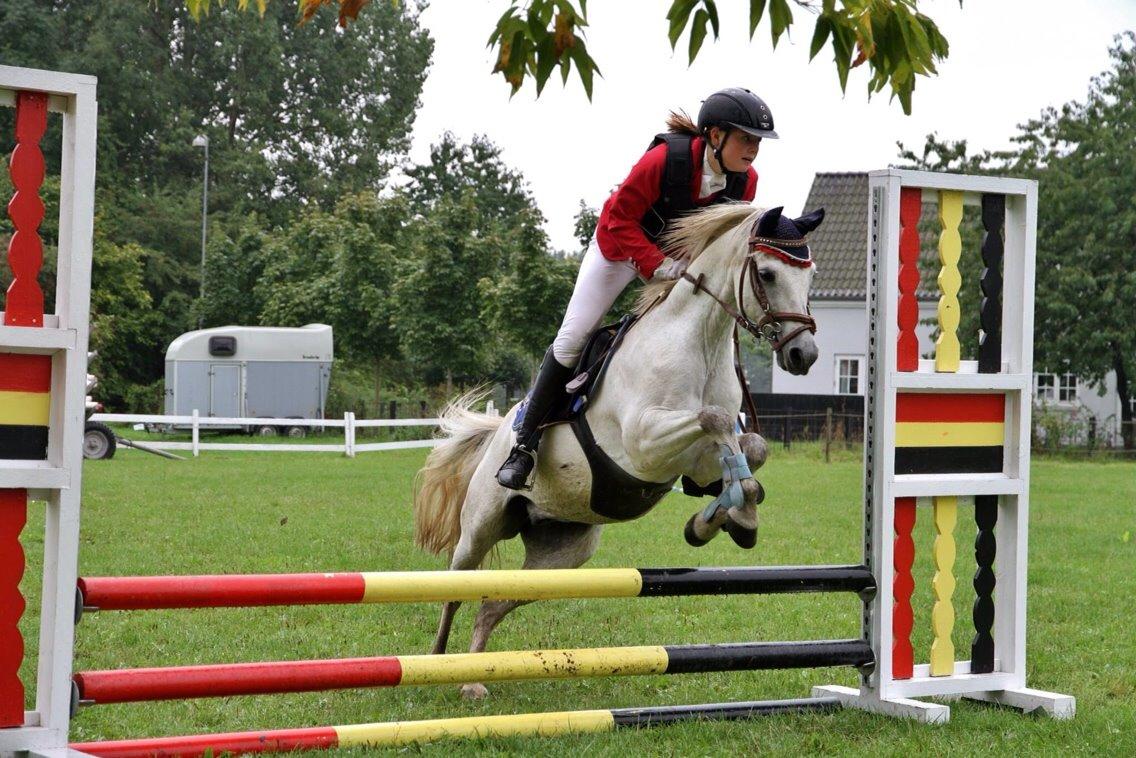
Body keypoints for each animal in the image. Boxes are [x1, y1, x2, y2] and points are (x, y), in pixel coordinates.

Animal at [412, 203, 822, 698]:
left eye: (810, 274)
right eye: (766, 273)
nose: (804, 354)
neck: (701, 341)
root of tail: (495, 436)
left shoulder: (698, 462)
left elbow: (750, 447)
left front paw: (725, 518)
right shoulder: (646, 444)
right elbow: (715, 419)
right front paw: (728, 516)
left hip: (563, 557)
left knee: (492, 604)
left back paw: (474, 678)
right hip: (481, 525)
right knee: (455, 588)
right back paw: (439, 663)